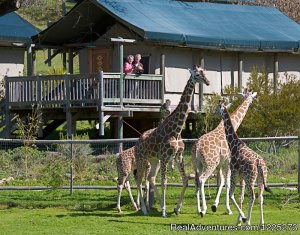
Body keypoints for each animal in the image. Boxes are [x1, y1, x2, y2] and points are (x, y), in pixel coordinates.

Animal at [135, 65, 210, 218]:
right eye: (197, 74)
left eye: (204, 72)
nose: (207, 82)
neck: (176, 131)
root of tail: (137, 141)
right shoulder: (165, 156)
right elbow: (164, 182)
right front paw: (164, 211)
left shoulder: (178, 156)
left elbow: (185, 180)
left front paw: (176, 208)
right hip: (142, 158)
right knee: (140, 180)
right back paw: (144, 209)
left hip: (154, 160)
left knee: (150, 178)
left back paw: (155, 205)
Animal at [190, 89, 258, 218]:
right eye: (251, 98)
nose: (252, 102)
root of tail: (197, 147)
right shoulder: (228, 162)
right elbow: (227, 182)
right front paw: (228, 209)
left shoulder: (221, 164)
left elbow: (221, 182)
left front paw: (215, 205)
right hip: (209, 164)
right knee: (202, 180)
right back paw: (204, 209)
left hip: (197, 164)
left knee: (196, 181)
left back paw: (198, 209)